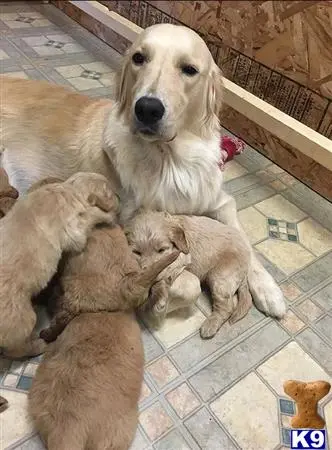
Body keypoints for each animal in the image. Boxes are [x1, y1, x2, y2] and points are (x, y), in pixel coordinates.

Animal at [0, 24, 286, 322]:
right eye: (139, 58)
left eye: (189, 69)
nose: (148, 108)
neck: (171, 158)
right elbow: (185, 280)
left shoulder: (220, 201)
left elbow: (245, 244)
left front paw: (269, 290)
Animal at [0, 172, 118, 358]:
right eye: (111, 192)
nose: (120, 196)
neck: (68, 189)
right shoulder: (75, 231)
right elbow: (93, 216)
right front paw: (109, 214)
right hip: (21, 319)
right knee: (15, 349)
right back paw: (39, 345)